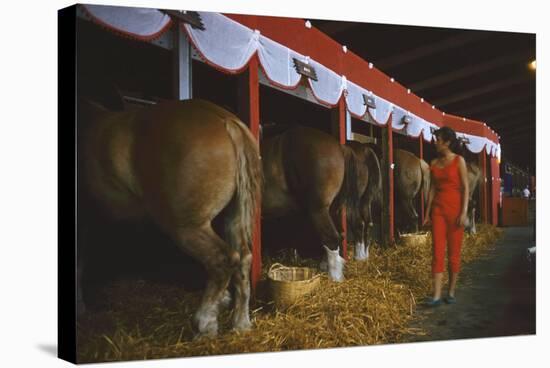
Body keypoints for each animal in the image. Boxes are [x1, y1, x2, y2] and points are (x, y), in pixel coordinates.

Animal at [77, 98, 264, 336]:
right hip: (232, 219)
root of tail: (225, 120)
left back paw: (205, 324)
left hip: (187, 228)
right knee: (243, 259)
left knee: (222, 260)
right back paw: (241, 324)